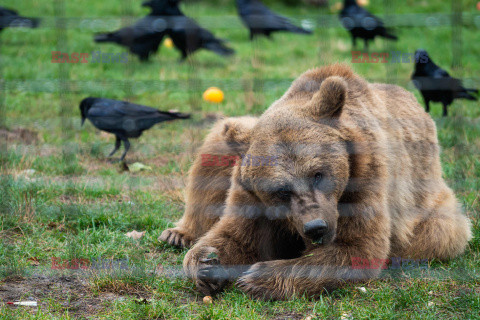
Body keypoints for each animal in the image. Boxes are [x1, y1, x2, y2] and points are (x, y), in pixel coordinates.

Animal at [159, 64, 470, 300]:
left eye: (318, 174)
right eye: (281, 190)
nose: (316, 227)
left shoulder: (366, 180)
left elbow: (357, 248)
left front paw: (257, 277)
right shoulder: (252, 196)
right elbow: (235, 236)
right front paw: (207, 263)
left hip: (427, 203)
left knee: (440, 232)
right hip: (234, 135)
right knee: (213, 151)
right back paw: (179, 233)